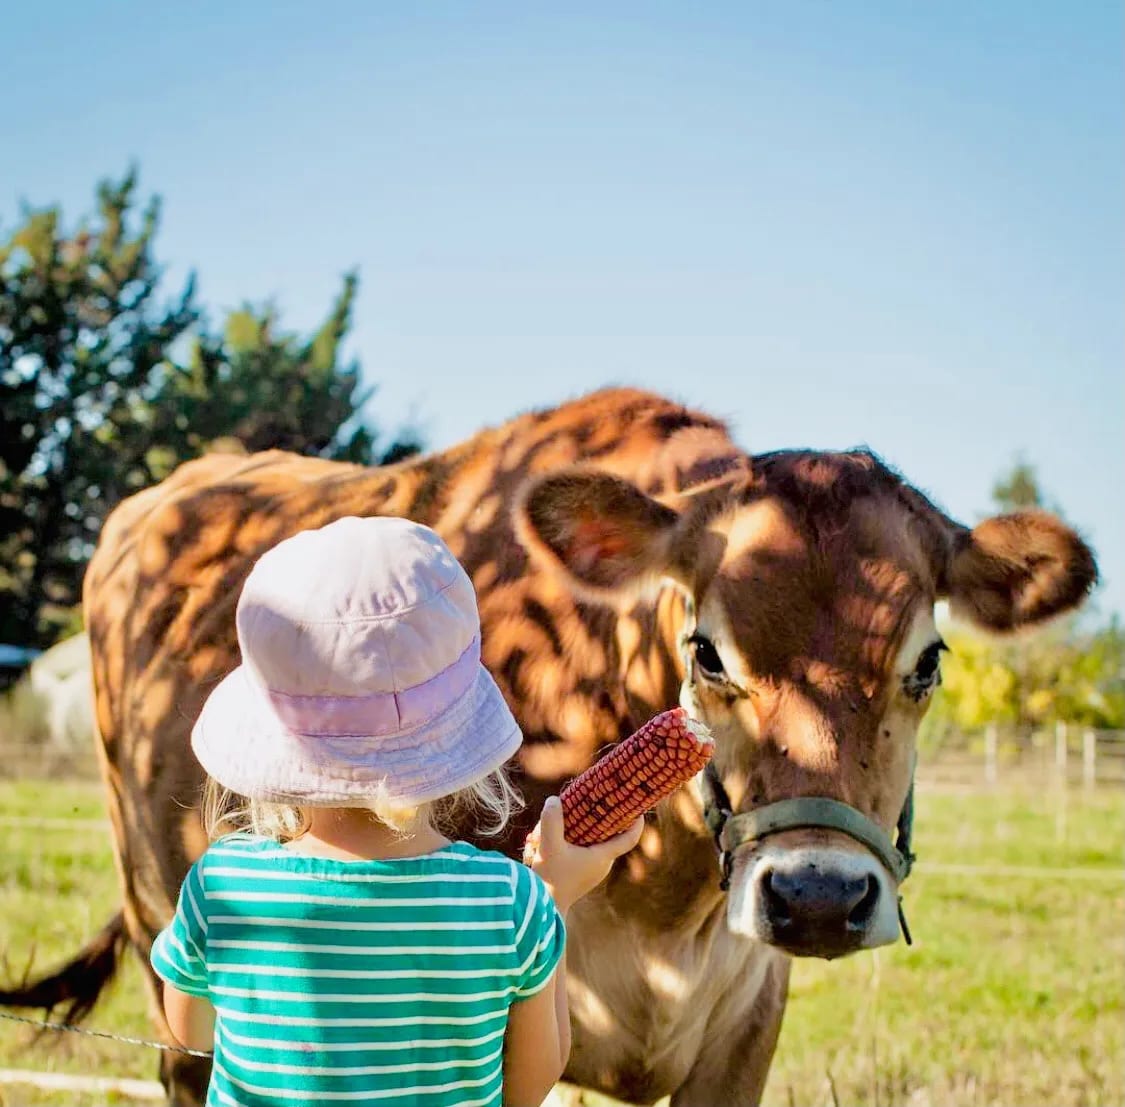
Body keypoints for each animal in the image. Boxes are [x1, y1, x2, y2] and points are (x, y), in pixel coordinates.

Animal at [0, 388, 1096, 1105]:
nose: (818, 895)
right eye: (707, 650)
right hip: (161, 921)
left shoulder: (743, 1031)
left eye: (928, 659)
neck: (668, 909)